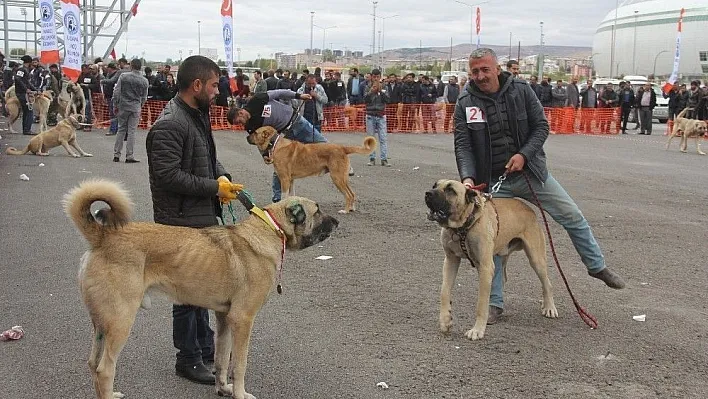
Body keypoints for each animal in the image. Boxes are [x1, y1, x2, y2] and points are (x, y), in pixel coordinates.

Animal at [63, 180, 338, 399]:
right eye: (317, 210)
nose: (337, 221)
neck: (271, 228)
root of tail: (103, 237)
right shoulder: (243, 320)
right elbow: (239, 364)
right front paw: (240, 394)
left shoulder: (225, 318)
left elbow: (222, 359)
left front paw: (223, 388)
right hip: (121, 322)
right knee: (104, 369)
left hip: (102, 324)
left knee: (93, 363)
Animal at [426, 180, 560, 340]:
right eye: (434, 185)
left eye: (450, 190)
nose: (428, 193)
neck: (462, 227)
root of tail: (530, 210)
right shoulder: (451, 261)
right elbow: (444, 292)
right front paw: (445, 320)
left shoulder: (485, 267)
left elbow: (481, 304)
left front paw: (477, 330)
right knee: (503, 279)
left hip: (536, 259)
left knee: (547, 283)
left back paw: (549, 307)